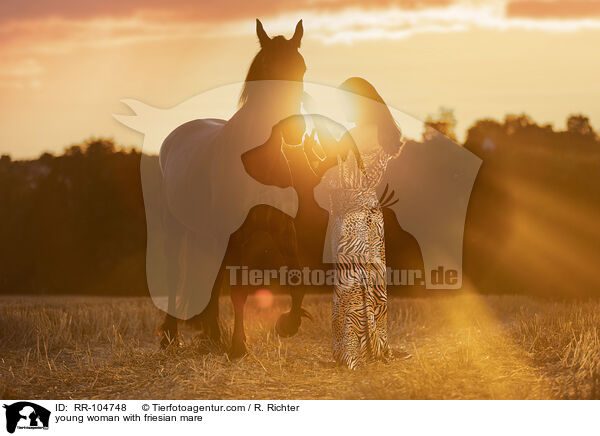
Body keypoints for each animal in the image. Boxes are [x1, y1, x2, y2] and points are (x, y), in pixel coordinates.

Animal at [157, 17, 314, 358]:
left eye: (301, 67)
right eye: (267, 67)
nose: (295, 130)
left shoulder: (285, 231)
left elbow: (298, 278)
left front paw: (288, 324)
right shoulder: (236, 237)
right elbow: (239, 290)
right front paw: (239, 346)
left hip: (209, 234)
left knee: (211, 281)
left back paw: (212, 334)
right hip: (177, 229)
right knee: (175, 275)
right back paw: (171, 337)